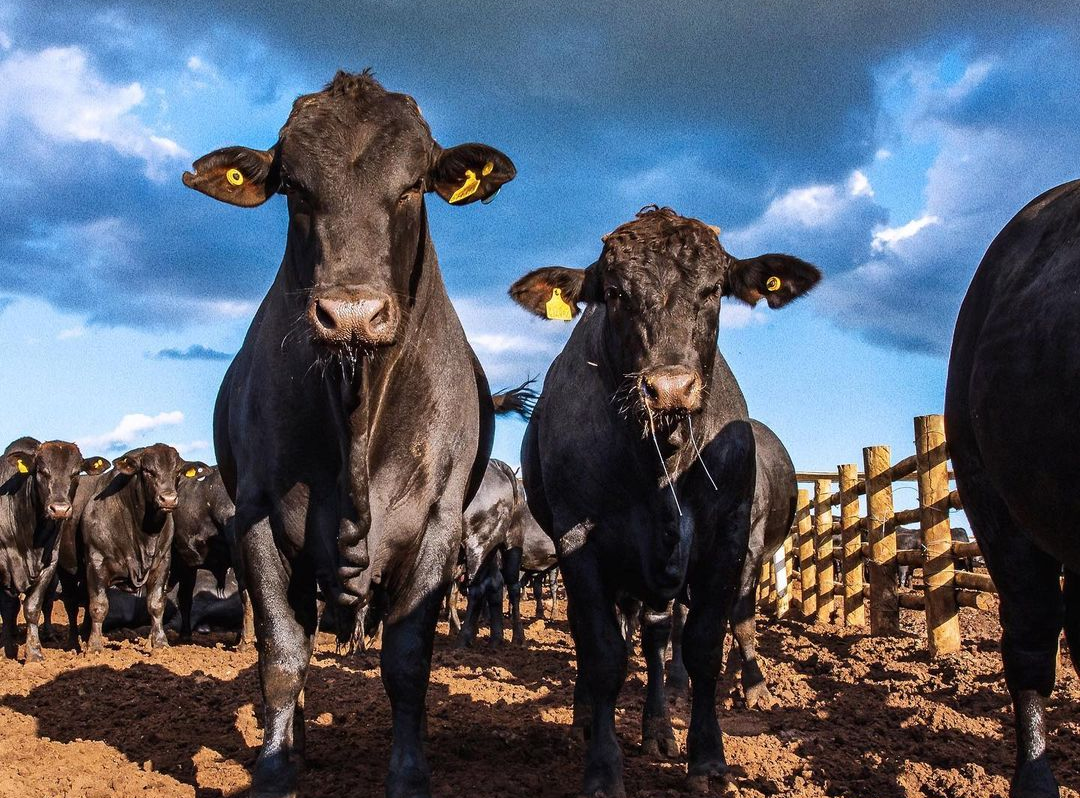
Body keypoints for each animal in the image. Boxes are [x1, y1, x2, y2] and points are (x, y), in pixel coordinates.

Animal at [0, 436, 108, 660]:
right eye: (42, 471)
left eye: (75, 473)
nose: (59, 509)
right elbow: (8, 609)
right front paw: (8, 650)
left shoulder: (50, 564)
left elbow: (33, 607)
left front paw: (34, 653)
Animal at [183, 70, 520, 798]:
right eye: (294, 186)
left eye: (413, 185)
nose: (353, 314)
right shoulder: (257, 516)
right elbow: (282, 654)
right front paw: (274, 769)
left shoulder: (438, 524)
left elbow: (407, 661)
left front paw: (409, 774)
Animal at [507, 207, 816, 798]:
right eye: (615, 292)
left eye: (714, 289)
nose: (669, 387)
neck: (659, 463)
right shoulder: (578, 542)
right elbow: (603, 653)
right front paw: (603, 767)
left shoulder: (726, 539)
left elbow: (702, 645)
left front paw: (707, 757)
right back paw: (585, 716)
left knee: (654, 639)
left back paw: (657, 728)